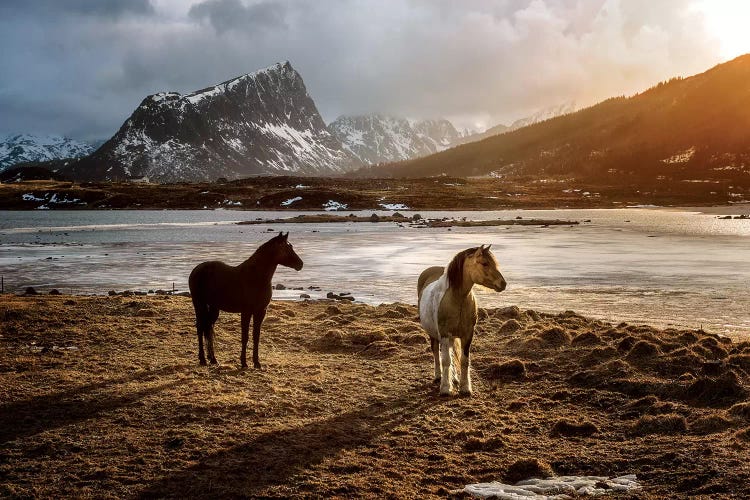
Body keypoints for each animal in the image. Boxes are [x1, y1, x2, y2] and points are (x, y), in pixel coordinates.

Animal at [189, 232, 304, 370]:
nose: (300, 264)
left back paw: (213, 359)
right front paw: (244, 362)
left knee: (208, 327)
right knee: (200, 328)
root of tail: (196, 270)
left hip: (213, 308)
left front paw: (257, 363)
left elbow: (256, 336)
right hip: (199, 304)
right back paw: (202, 359)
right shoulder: (246, 312)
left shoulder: (260, 312)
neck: (256, 277)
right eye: (287, 248)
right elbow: (245, 337)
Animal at [420, 245, 508, 394]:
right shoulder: (444, 334)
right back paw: (438, 376)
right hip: (434, 334)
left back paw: (454, 378)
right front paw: (445, 388)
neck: (457, 299)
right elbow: (445, 360)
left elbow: (464, 360)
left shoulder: (467, 335)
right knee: (436, 352)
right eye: (485, 263)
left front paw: (465, 388)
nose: (503, 284)